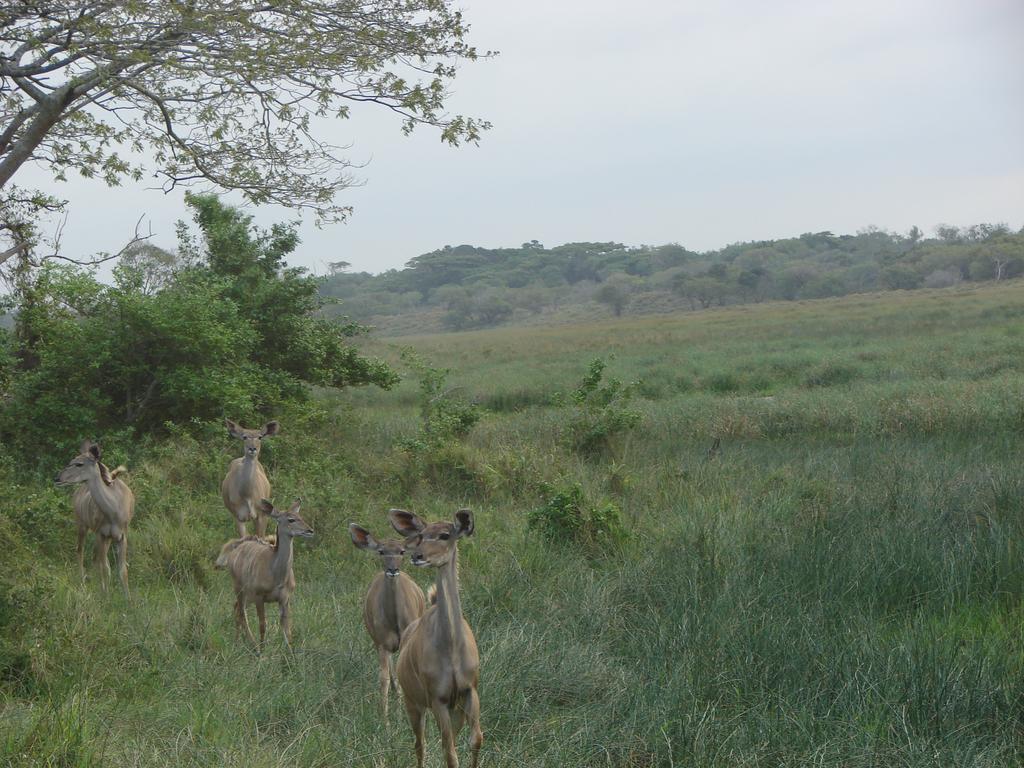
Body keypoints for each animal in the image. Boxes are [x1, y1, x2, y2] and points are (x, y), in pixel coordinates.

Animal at [54, 442, 136, 598]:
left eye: (79, 463)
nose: (57, 479)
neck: (113, 510)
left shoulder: (121, 536)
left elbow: (122, 570)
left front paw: (128, 599)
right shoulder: (101, 533)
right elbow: (105, 568)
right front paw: (106, 596)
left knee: (95, 557)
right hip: (82, 525)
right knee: (81, 550)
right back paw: (83, 581)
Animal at [212, 499, 309, 651]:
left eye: (301, 517)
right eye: (291, 519)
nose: (310, 530)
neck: (277, 576)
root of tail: (236, 546)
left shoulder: (285, 599)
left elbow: (287, 628)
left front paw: (290, 652)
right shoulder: (259, 597)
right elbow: (263, 625)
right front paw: (262, 650)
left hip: (247, 595)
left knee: (237, 608)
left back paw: (239, 641)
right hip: (239, 588)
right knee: (241, 612)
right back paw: (251, 643)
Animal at [350, 524, 425, 720]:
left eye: (402, 551)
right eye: (381, 551)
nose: (392, 570)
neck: (396, 622)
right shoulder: (383, 643)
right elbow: (384, 679)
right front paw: (385, 720)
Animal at [389, 507, 481, 765]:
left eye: (444, 535)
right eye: (421, 535)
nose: (417, 556)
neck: (452, 651)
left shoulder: (469, 690)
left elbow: (475, 740)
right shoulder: (437, 698)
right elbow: (449, 752)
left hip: (453, 708)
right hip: (413, 703)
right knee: (420, 744)